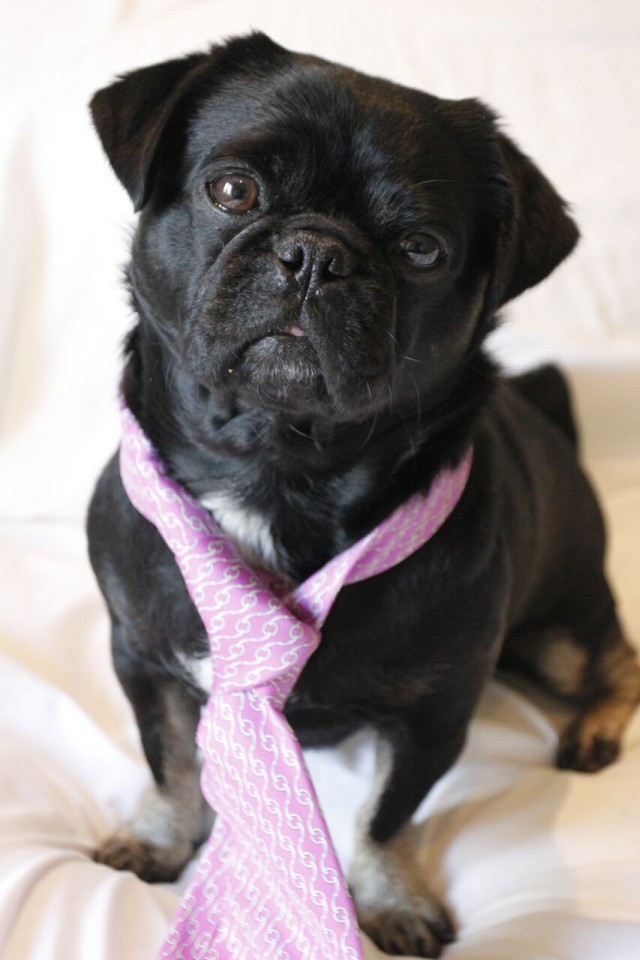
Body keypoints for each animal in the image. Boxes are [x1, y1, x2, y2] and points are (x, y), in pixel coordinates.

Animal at [89, 31, 640, 960]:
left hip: (563, 630)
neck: (277, 468)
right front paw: (159, 837)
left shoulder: (435, 715)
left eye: (421, 248)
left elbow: (388, 815)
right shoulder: (139, 655)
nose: (317, 253)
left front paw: (388, 899)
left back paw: (594, 727)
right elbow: (170, 761)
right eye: (232, 190)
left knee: (617, 660)